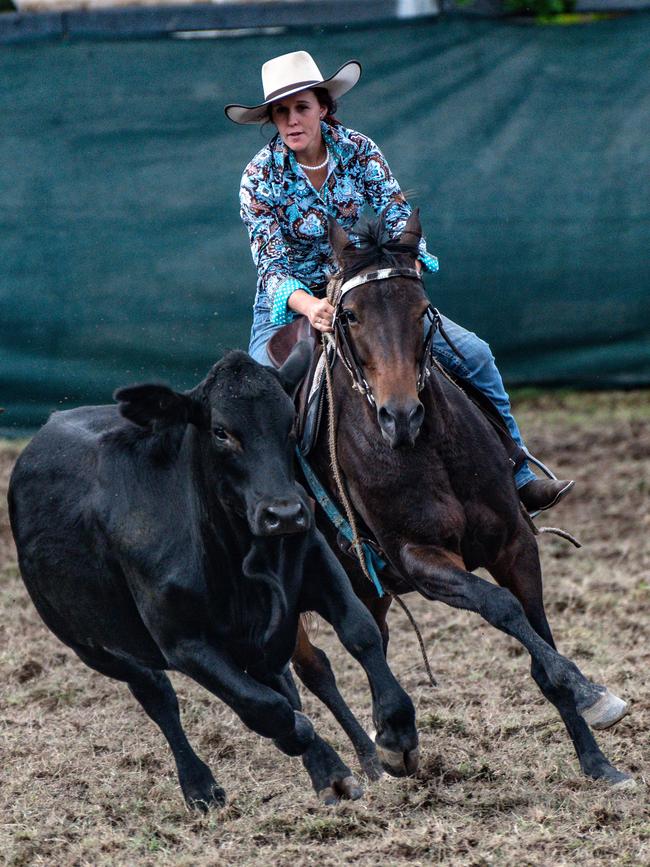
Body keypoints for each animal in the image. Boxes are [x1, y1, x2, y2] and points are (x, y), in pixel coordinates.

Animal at [8, 350, 416, 812]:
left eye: (289, 423)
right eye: (222, 432)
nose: (284, 514)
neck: (235, 549)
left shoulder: (315, 564)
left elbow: (359, 633)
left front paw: (396, 734)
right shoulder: (183, 642)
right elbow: (263, 708)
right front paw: (306, 739)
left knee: (283, 681)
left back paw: (329, 771)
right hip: (93, 647)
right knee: (159, 697)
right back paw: (203, 786)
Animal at [288, 210, 628, 788]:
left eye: (422, 308)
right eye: (349, 315)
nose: (400, 416)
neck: (428, 451)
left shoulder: (514, 544)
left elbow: (538, 643)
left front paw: (597, 757)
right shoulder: (420, 559)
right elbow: (499, 606)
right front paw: (585, 688)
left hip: (364, 584)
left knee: (371, 638)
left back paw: (388, 742)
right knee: (314, 666)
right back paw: (361, 759)